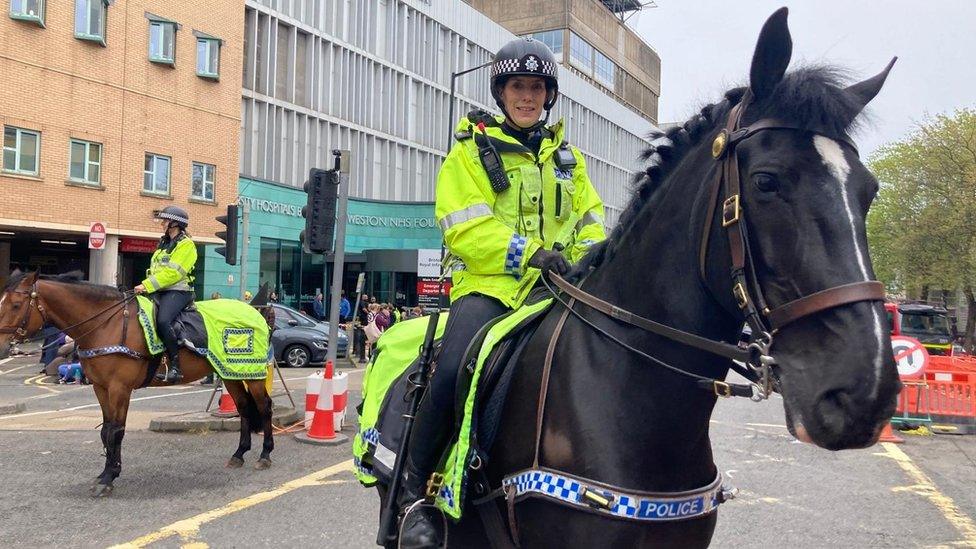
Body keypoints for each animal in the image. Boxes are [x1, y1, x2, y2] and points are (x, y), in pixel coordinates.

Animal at [0, 270, 274, 496]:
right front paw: (106, 472)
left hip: (253, 373)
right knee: (243, 407)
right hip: (230, 373)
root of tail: (255, 312)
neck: (106, 324)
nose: (3, 347)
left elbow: (116, 431)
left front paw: (108, 478)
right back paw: (239, 454)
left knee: (264, 407)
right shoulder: (101, 388)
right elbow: (105, 430)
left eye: (16, 304)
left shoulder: (120, 388)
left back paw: (265, 454)